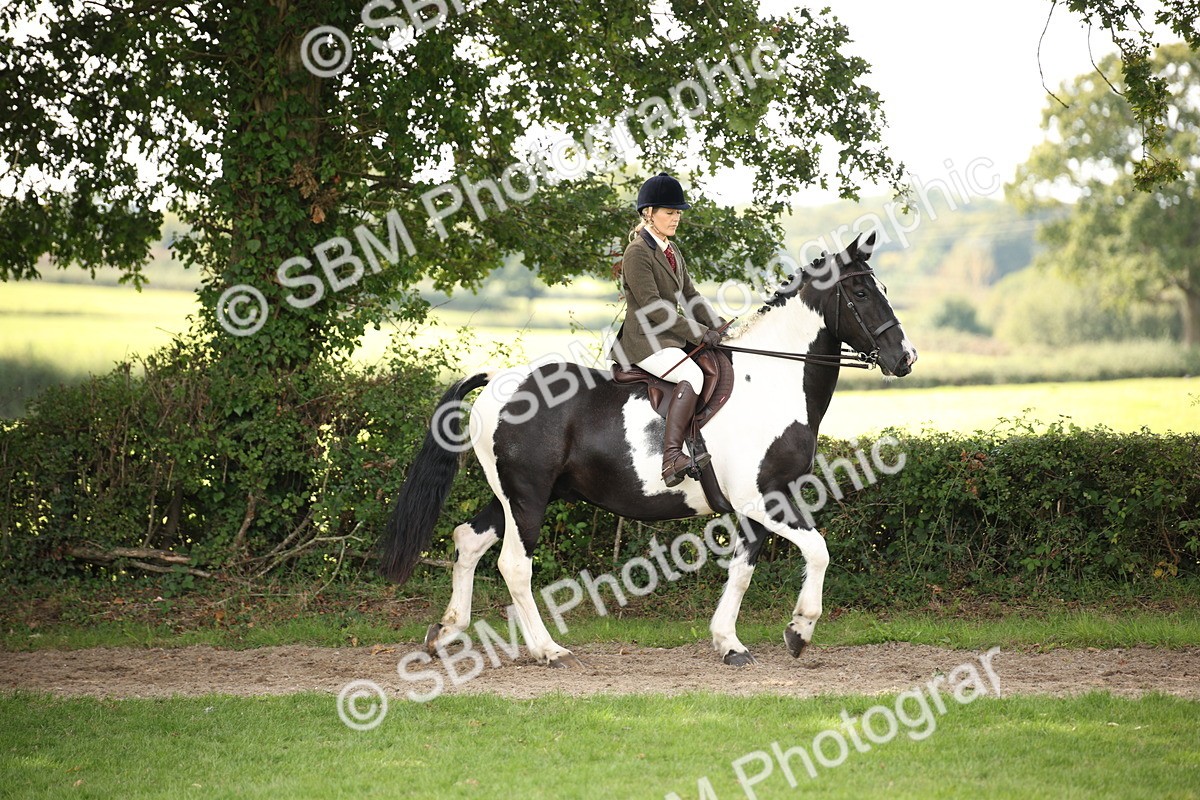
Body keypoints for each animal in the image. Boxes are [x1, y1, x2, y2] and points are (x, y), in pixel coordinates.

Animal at [379, 231, 917, 667]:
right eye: (862, 292)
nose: (905, 358)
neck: (771, 380)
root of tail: (499, 381)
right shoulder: (764, 498)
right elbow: (818, 551)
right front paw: (799, 630)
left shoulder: (759, 503)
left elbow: (743, 570)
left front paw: (729, 643)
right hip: (528, 495)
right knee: (514, 564)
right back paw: (548, 650)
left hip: (517, 494)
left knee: (468, 540)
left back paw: (445, 632)